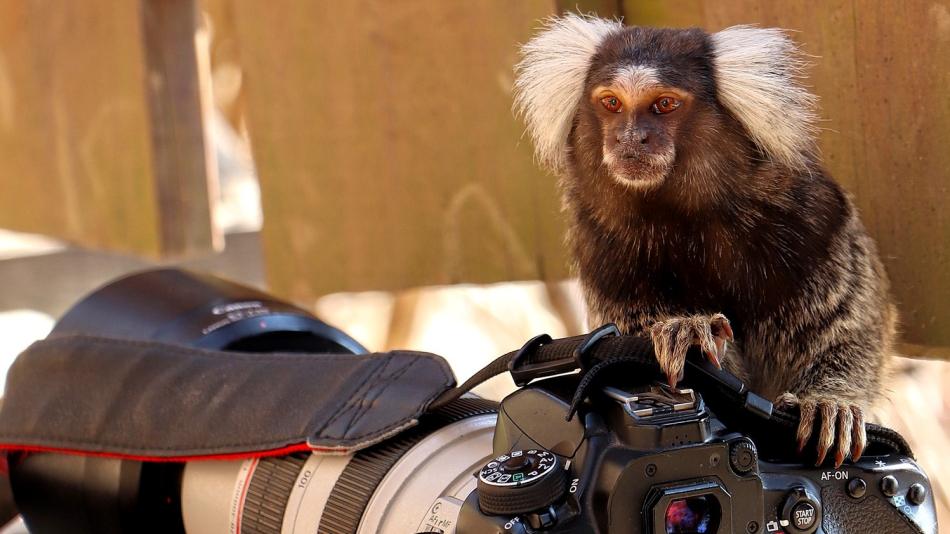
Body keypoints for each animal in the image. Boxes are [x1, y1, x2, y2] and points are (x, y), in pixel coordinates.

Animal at [516, 14, 896, 468]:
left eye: (664, 104)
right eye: (611, 103)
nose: (630, 139)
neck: (687, 214)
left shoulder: (813, 215)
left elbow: (845, 326)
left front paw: (828, 404)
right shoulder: (596, 238)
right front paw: (688, 330)